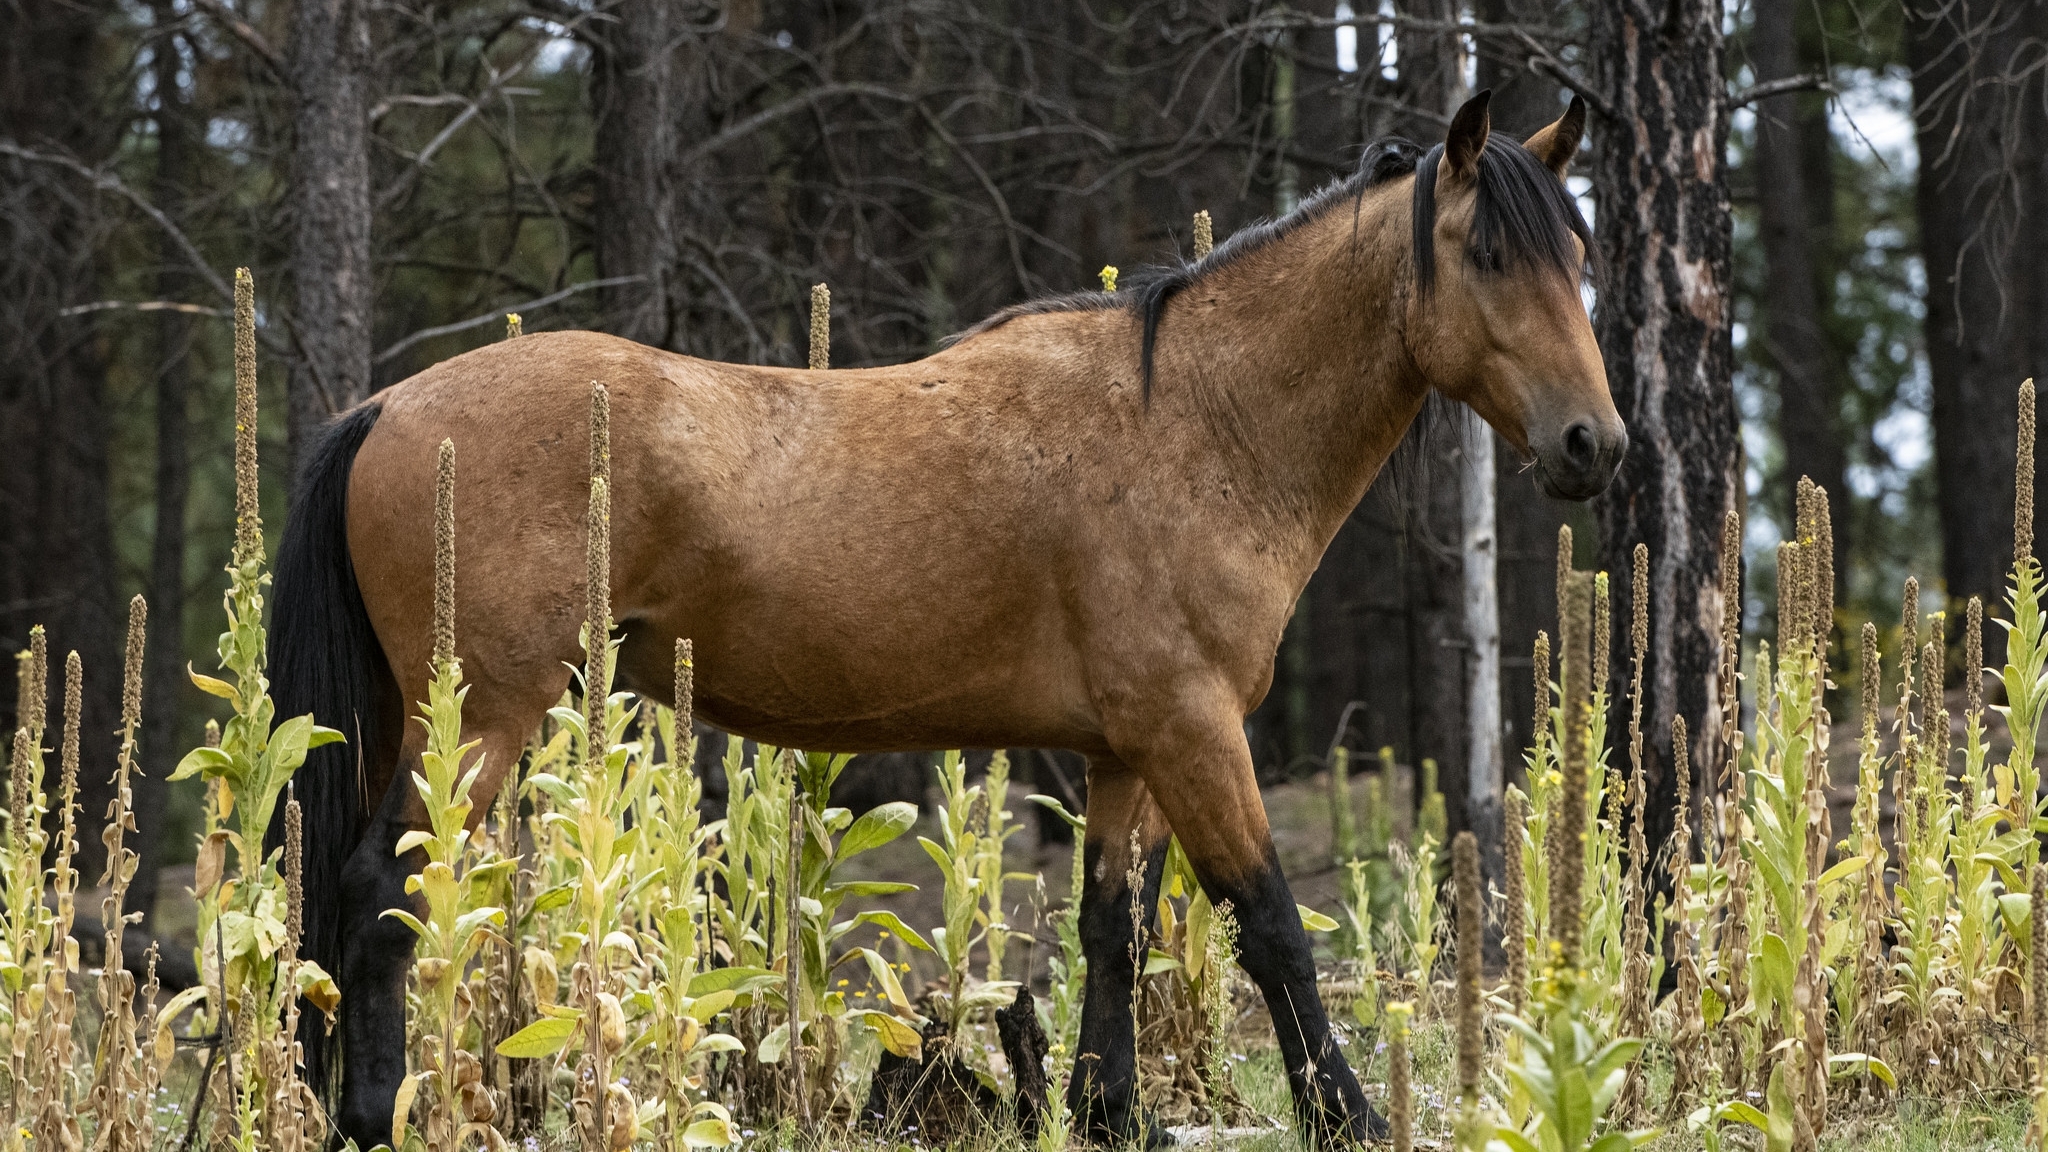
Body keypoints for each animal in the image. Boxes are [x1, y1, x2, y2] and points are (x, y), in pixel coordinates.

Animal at [268, 91, 1613, 1147]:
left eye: (1577, 258)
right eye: (1490, 256)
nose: (1591, 447)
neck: (1187, 424)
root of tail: (387, 406)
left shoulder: (1125, 751)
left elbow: (1111, 930)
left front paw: (1108, 1115)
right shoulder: (1193, 733)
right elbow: (1267, 922)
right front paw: (1349, 1116)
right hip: (481, 715)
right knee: (378, 889)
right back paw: (367, 1119)